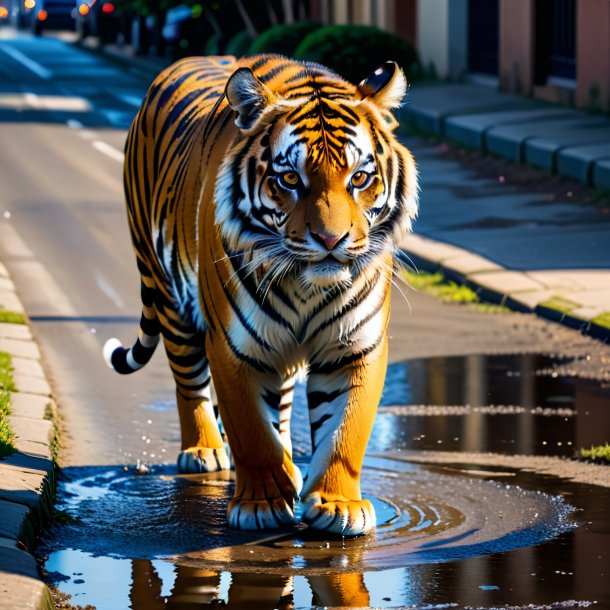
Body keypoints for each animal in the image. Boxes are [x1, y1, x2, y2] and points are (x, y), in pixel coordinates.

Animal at [104, 54, 418, 536]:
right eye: (289, 179)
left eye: (360, 177)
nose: (332, 240)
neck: (307, 284)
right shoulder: (233, 346)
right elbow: (251, 429)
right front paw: (262, 503)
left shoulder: (354, 348)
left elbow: (345, 431)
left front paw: (338, 504)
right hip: (168, 294)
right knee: (189, 382)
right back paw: (205, 450)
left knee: (281, 403)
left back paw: (289, 466)